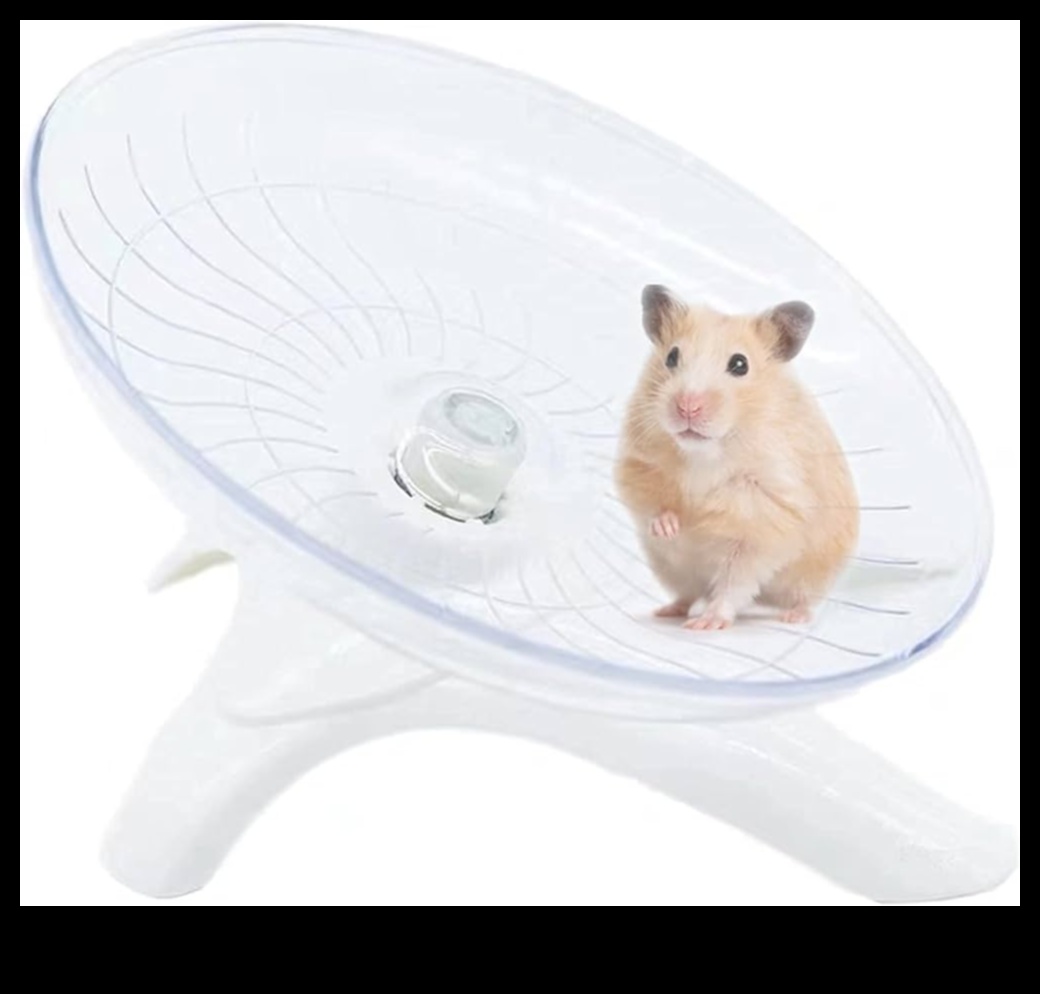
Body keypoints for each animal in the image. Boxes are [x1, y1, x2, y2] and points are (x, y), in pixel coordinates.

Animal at [614, 285, 858, 630]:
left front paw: (708, 518)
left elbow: (735, 577)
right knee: (688, 594)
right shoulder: (638, 463)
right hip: (671, 569)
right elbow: (652, 503)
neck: (705, 452)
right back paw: (667, 610)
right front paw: (672, 526)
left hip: (811, 576)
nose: (687, 407)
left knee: (793, 598)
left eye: (740, 364)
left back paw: (789, 617)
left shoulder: (768, 514)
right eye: (672, 356)